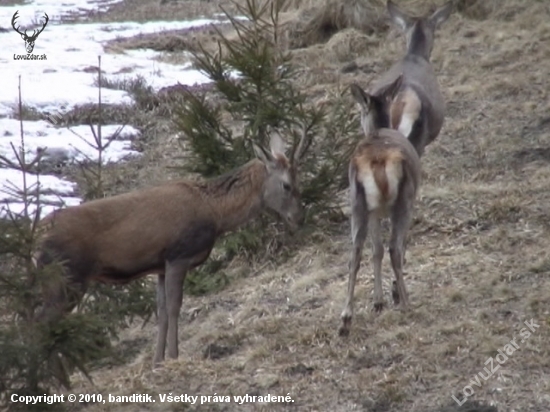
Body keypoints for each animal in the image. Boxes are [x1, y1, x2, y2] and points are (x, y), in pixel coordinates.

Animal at [36, 134, 308, 366]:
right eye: (287, 185)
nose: (298, 218)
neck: (215, 213)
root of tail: (38, 235)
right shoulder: (179, 255)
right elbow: (176, 306)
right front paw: (175, 356)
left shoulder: (160, 265)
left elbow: (162, 311)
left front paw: (158, 361)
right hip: (67, 275)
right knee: (41, 324)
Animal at [340, 75, 422, 338]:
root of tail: (378, 160)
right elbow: (395, 247)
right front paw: (390, 295)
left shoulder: (374, 211)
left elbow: (375, 250)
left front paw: (378, 301)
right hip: (404, 199)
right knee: (394, 247)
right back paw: (406, 303)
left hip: (357, 201)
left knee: (354, 253)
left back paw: (345, 319)